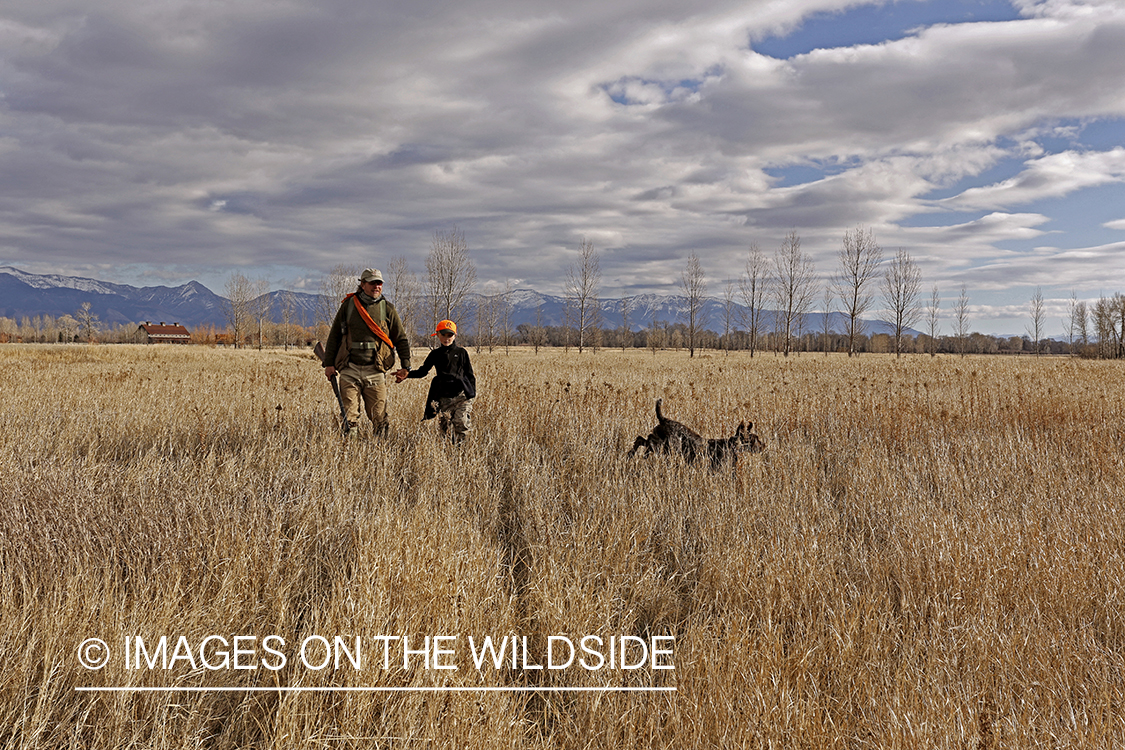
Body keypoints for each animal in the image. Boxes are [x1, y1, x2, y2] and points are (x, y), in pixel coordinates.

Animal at [630, 398, 760, 470]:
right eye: (755, 439)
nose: (763, 446)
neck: (731, 444)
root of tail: (664, 419)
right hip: (667, 447)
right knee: (646, 441)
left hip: (663, 446)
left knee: (641, 439)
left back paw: (631, 454)